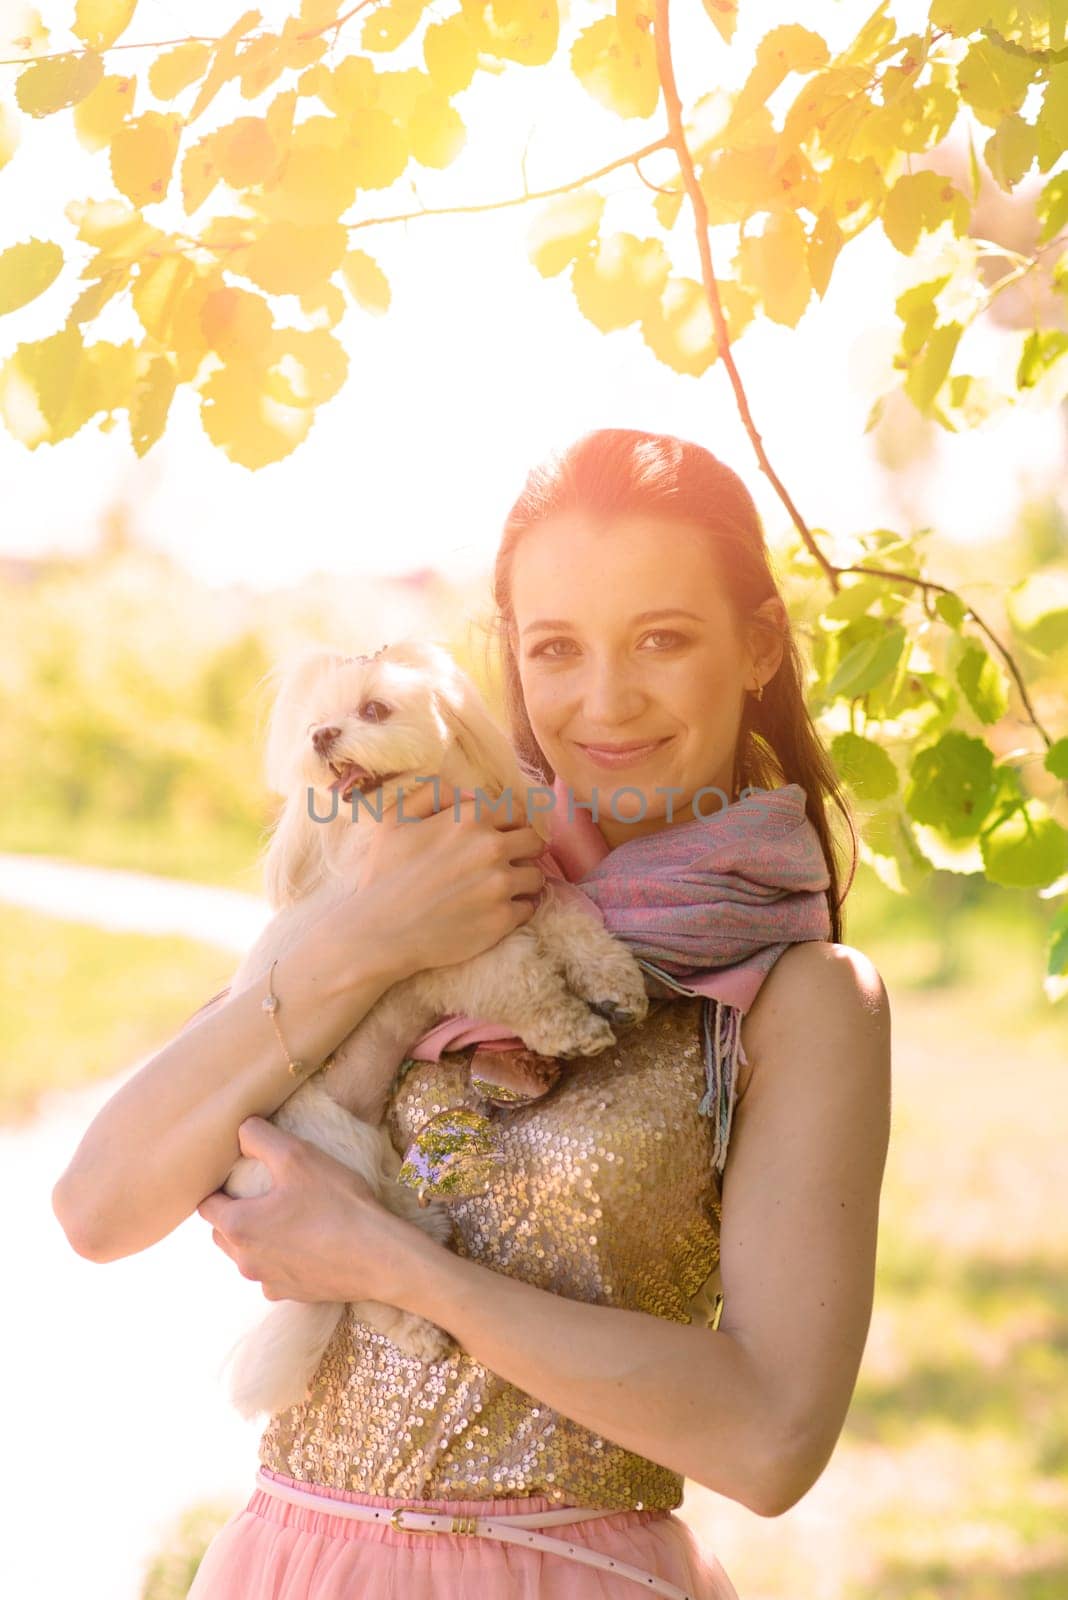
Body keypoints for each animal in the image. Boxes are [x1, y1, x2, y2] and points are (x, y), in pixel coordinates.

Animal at [220, 630, 645, 1420]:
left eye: (373, 709)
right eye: (314, 724)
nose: (322, 737)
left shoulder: (525, 892)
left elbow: (574, 925)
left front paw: (615, 986)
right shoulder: (450, 951)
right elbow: (520, 977)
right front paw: (568, 1026)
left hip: (384, 1177)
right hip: (330, 1165)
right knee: (355, 1284)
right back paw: (417, 1333)